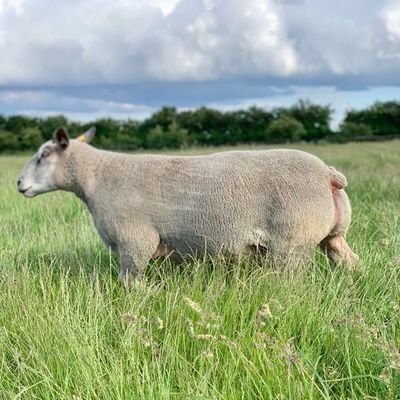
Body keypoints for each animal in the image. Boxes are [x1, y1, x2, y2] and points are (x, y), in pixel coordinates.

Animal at [17, 126, 358, 286]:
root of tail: (329, 175)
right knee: (350, 261)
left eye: (43, 155)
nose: (19, 183)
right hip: (333, 236)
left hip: (290, 246)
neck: (96, 178)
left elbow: (131, 285)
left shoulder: (135, 242)